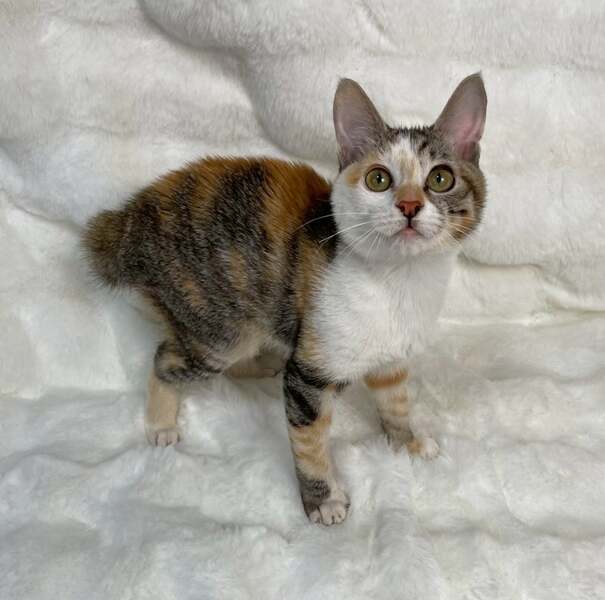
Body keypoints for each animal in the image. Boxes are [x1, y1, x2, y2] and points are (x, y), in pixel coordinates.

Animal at [83, 73, 487, 525]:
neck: (398, 284)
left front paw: (407, 443)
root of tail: (131, 221)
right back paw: (161, 423)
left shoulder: (392, 360)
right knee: (167, 357)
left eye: (440, 179)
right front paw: (322, 500)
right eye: (379, 179)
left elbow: (395, 400)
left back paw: (263, 363)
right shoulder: (307, 374)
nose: (410, 205)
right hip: (216, 327)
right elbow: (309, 441)